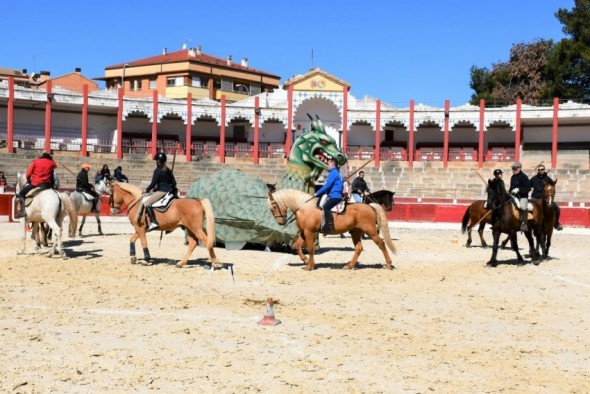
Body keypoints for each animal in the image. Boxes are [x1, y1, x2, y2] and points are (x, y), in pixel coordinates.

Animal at [268, 189, 398, 270]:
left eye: (274, 206)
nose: (281, 222)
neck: (304, 207)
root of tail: (370, 206)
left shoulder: (310, 232)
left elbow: (310, 248)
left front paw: (309, 266)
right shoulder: (304, 232)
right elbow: (296, 245)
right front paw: (305, 261)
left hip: (370, 231)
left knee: (381, 244)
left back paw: (388, 264)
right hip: (355, 232)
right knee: (359, 248)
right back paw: (349, 265)